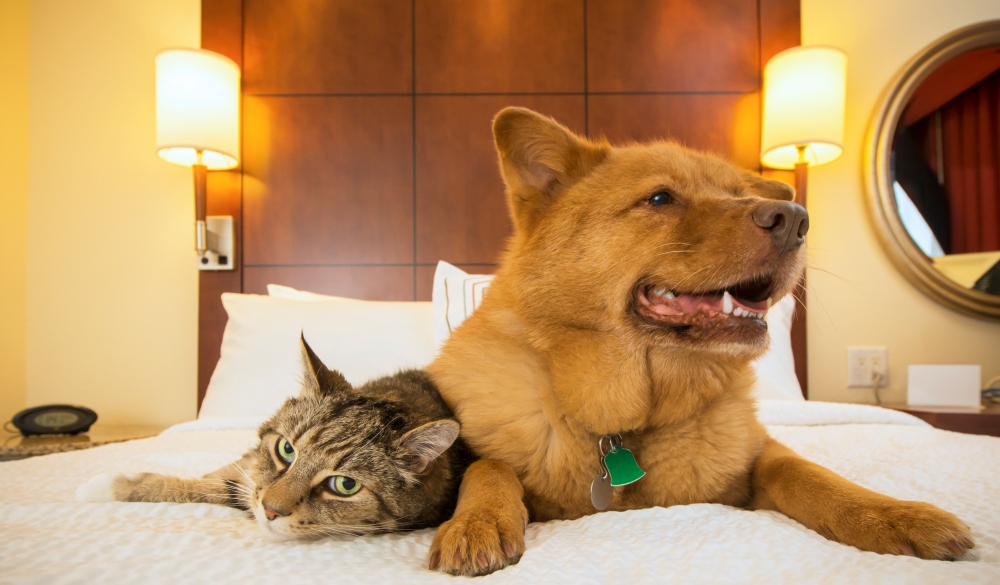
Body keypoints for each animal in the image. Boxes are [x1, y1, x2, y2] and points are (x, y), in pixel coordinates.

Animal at [424, 107, 976, 572]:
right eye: (660, 198)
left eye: (737, 194)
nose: (796, 218)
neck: (626, 428)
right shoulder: (493, 456)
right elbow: (489, 467)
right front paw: (478, 520)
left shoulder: (759, 458)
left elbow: (811, 474)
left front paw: (892, 513)